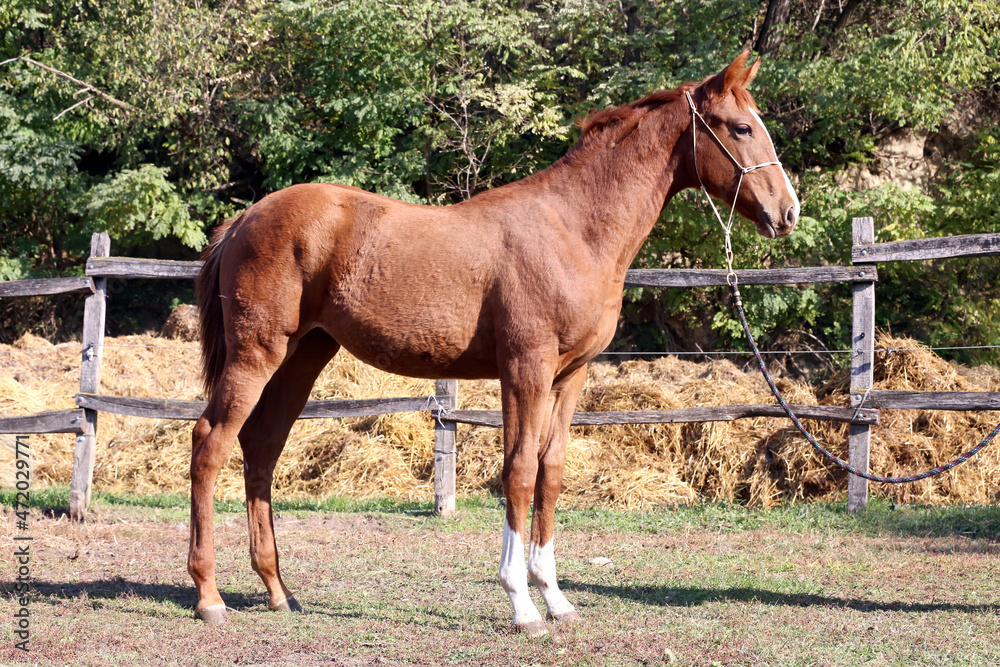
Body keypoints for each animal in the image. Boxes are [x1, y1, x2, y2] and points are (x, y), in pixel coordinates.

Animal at [188, 51, 799, 636]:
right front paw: (522, 606)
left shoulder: (568, 375)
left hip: (304, 356)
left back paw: (278, 590)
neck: (573, 230)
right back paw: (209, 597)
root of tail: (243, 219)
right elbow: (519, 472)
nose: (787, 212)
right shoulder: (525, 368)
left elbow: (551, 471)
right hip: (257, 354)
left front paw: (555, 599)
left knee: (261, 447)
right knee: (210, 442)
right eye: (741, 127)